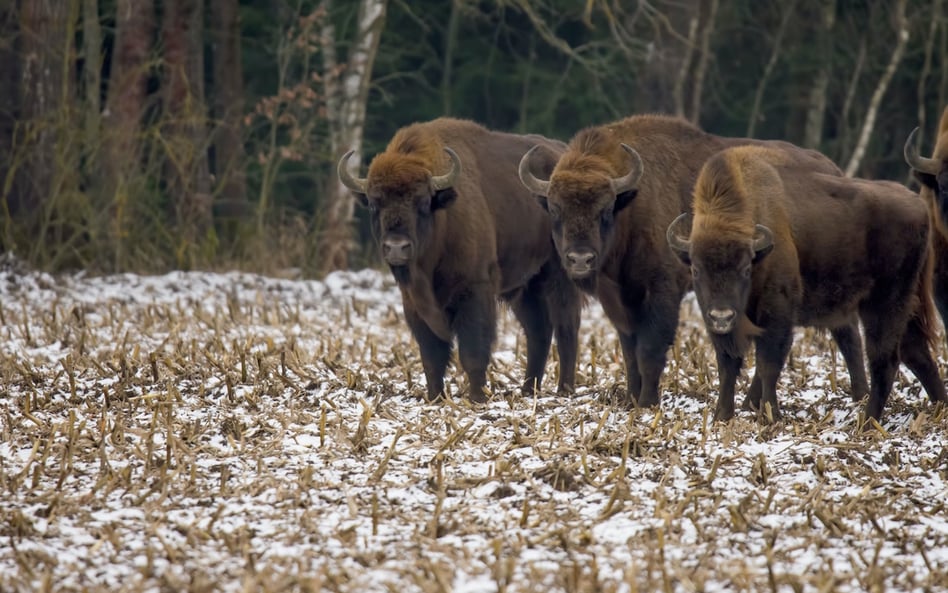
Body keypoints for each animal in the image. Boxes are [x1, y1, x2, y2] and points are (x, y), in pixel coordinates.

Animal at [336, 117, 580, 402]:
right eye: (375, 204)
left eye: (422, 202)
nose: (397, 247)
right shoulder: (414, 304)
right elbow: (432, 357)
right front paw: (435, 397)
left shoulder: (474, 291)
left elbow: (472, 352)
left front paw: (477, 398)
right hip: (525, 287)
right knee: (538, 332)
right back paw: (528, 390)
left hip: (560, 274)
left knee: (566, 327)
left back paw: (564, 389)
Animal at [520, 115, 868, 412]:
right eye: (555, 209)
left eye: (605, 210)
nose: (580, 259)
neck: (632, 204)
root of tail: (835, 170)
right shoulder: (619, 300)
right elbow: (629, 351)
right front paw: (631, 400)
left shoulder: (662, 291)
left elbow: (650, 349)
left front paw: (647, 403)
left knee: (846, 334)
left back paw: (859, 395)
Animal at [668, 146, 948, 424]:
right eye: (696, 269)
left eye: (746, 268)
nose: (722, 316)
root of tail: (919, 205)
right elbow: (728, 366)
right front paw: (721, 417)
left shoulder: (777, 314)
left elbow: (768, 364)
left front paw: (771, 416)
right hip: (906, 304)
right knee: (916, 353)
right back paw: (938, 407)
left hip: (884, 304)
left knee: (885, 358)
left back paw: (867, 423)